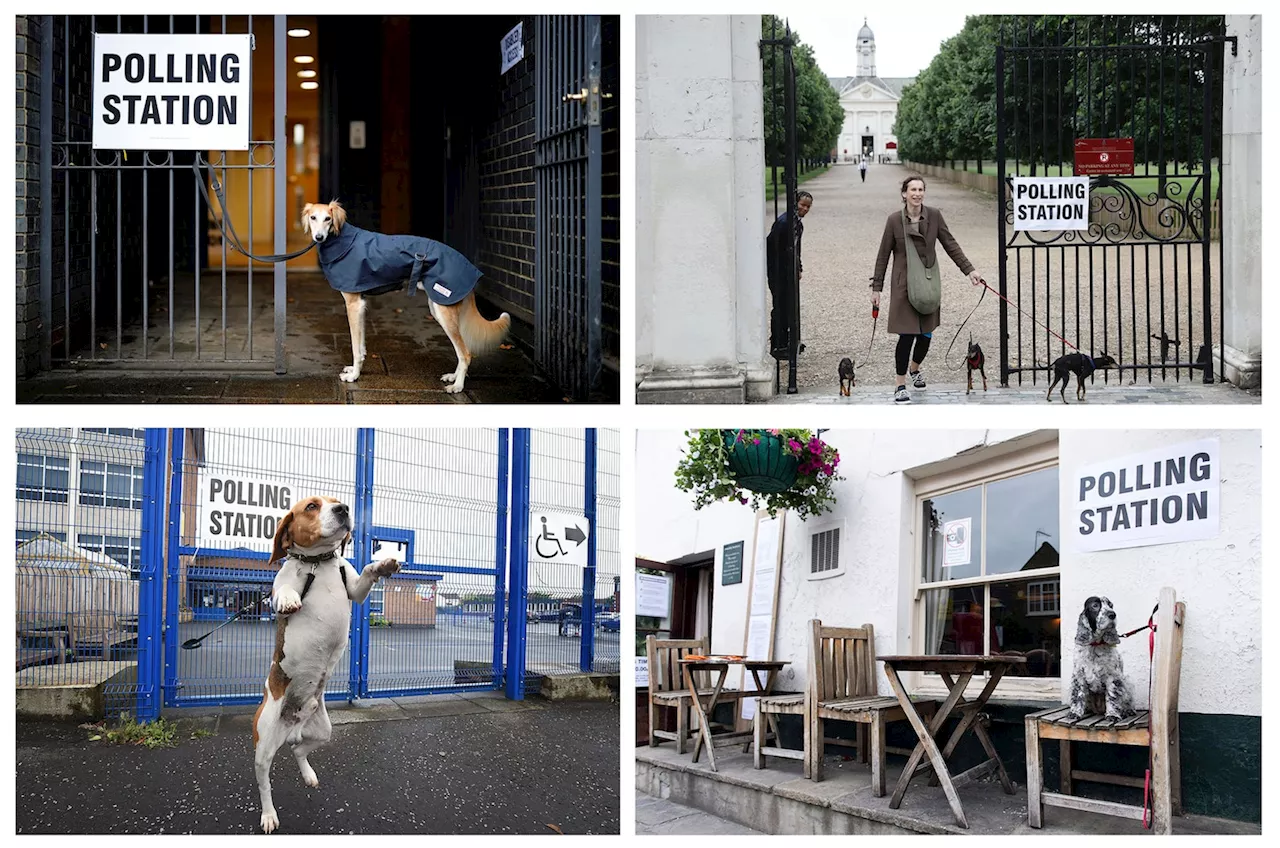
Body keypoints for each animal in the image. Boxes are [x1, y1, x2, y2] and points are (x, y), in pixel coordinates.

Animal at [254, 499, 399, 835]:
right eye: (311, 506)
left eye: (335, 502)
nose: (344, 509)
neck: (317, 563)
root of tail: (292, 722)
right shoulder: (280, 587)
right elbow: (283, 591)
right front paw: (290, 600)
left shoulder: (355, 589)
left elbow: (365, 575)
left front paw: (383, 565)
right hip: (264, 743)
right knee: (264, 781)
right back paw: (268, 815)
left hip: (323, 731)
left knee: (297, 750)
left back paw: (308, 775)